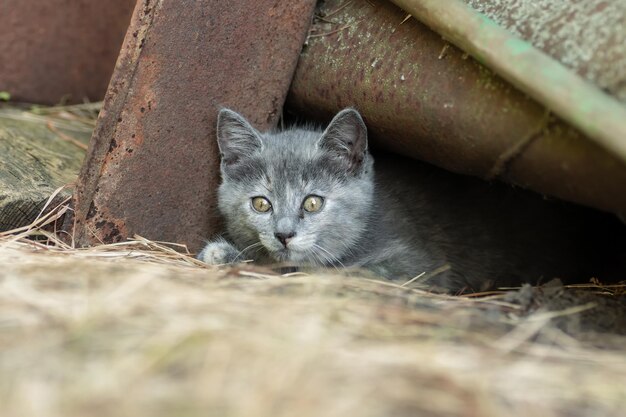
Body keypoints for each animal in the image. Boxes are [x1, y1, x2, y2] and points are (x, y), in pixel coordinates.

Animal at [199, 105, 608, 290]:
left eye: (313, 202)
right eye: (261, 203)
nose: (283, 234)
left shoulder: (416, 265)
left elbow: (338, 270)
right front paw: (226, 252)